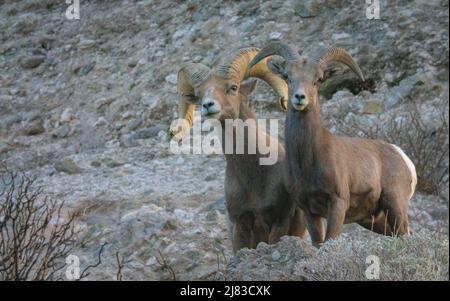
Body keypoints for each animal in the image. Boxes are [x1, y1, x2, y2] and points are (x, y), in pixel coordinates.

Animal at [171, 47, 306, 251]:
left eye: (233, 87)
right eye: (199, 95)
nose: (208, 105)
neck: (254, 175)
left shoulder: (280, 221)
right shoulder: (240, 225)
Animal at [248, 41, 416, 246]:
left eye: (318, 79)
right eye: (288, 77)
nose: (299, 97)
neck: (308, 161)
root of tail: (402, 157)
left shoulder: (338, 205)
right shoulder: (309, 211)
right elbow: (318, 243)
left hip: (395, 204)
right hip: (374, 219)